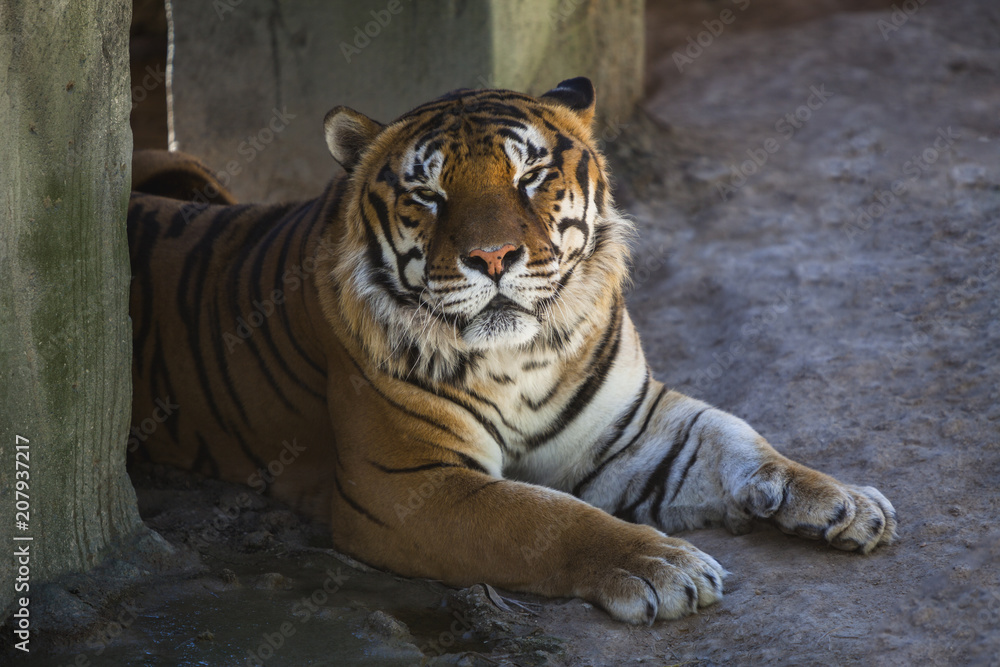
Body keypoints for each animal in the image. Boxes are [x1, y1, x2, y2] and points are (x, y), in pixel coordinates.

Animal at [127, 77, 897, 624]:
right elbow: (543, 517)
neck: (522, 357)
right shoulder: (404, 483)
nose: (492, 257)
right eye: (427, 193)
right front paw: (660, 566)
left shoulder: (634, 429)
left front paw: (845, 501)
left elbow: (739, 438)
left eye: (530, 177)